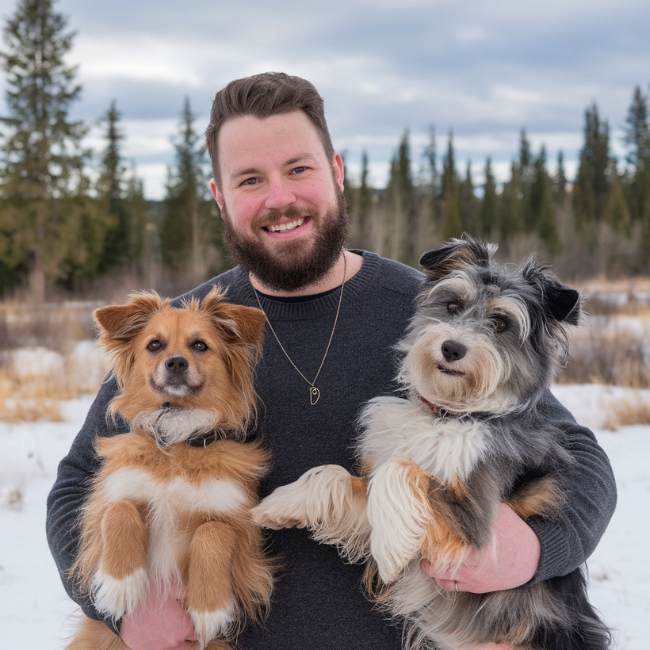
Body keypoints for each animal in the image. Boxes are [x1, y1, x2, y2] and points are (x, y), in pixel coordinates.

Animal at [68, 288, 274, 648]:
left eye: (200, 345)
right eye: (154, 345)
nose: (175, 363)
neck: (177, 444)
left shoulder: (243, 532)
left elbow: (213, 532)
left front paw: (210, 607)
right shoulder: (110, 496)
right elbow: (119, 511)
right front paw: (119, 583)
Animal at [253, 238, 608, 648]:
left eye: (500, 323)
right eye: (452, 305)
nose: (452, 348)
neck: (449, 414)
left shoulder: (476, 520)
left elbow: (402, 470)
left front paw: (391, 548)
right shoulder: (371, 501)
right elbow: (334, 475)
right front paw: (278, 505)